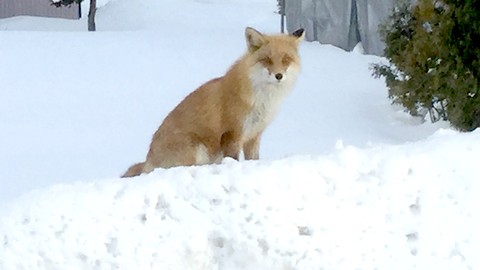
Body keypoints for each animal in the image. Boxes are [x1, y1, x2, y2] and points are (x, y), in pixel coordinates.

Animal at [122, 25, 306, 177]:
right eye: (267, 60)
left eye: (286, 60)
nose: (279, 76)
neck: (262, 99)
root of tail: (148, 160)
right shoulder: (233, 133)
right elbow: (233, 158)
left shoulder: (254, 135)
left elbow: (254, 159)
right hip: (197, 149)